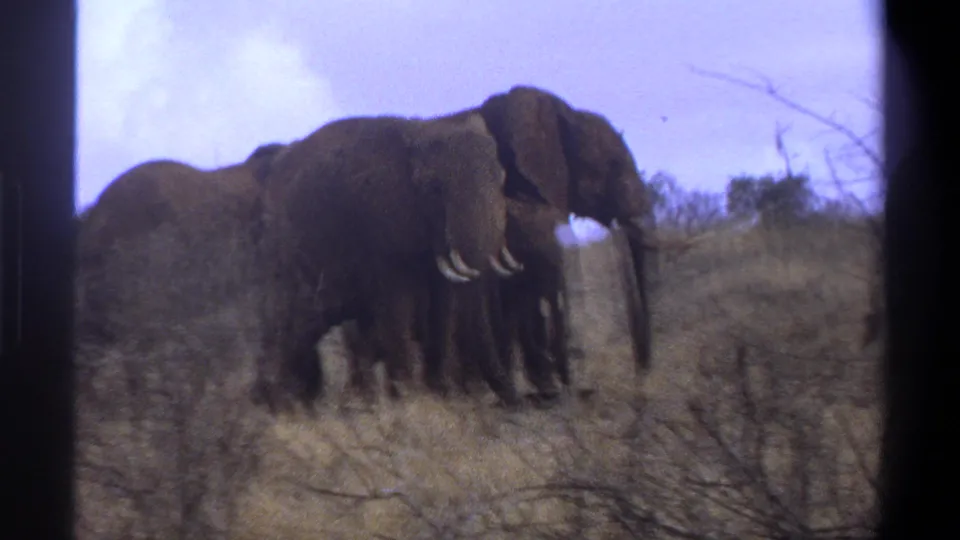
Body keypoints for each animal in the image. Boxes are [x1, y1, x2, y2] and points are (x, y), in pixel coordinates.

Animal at [250, 112, 526, 415]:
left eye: (501, 181)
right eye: (433, 189)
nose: (515, 402)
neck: (420, 133)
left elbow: (444, 305)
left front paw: (439, 395)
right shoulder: (380, 222)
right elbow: (398, 304)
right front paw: (411, 399)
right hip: (284, 246)